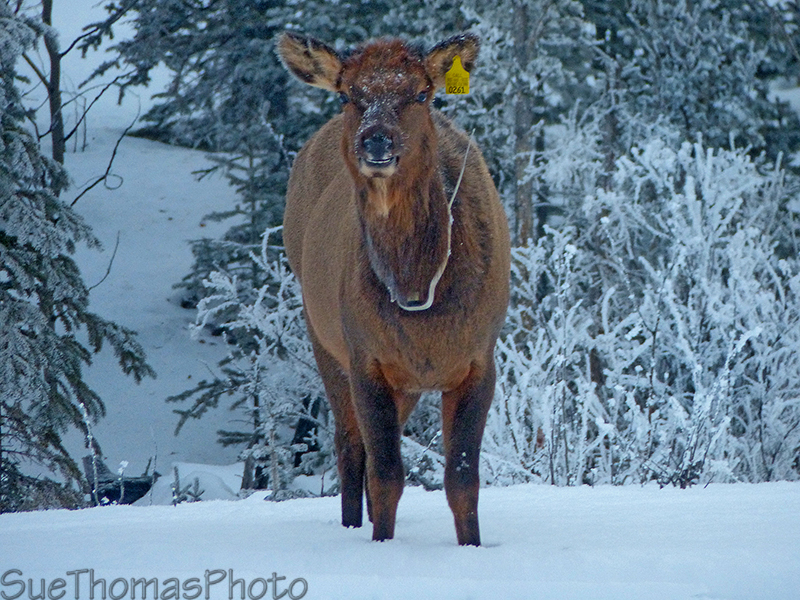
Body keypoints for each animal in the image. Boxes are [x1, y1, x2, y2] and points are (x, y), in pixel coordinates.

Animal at [277, 31, 510, 546]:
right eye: (348, 94)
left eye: (422, 93)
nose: (376, 139)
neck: (419, 288)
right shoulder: (367, 358)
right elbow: (386, 474)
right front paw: (382, 543)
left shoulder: (479, 358)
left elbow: (463, 478)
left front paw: (472, 546)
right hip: (323, 337)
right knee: (350, 448)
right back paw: (350, 524)